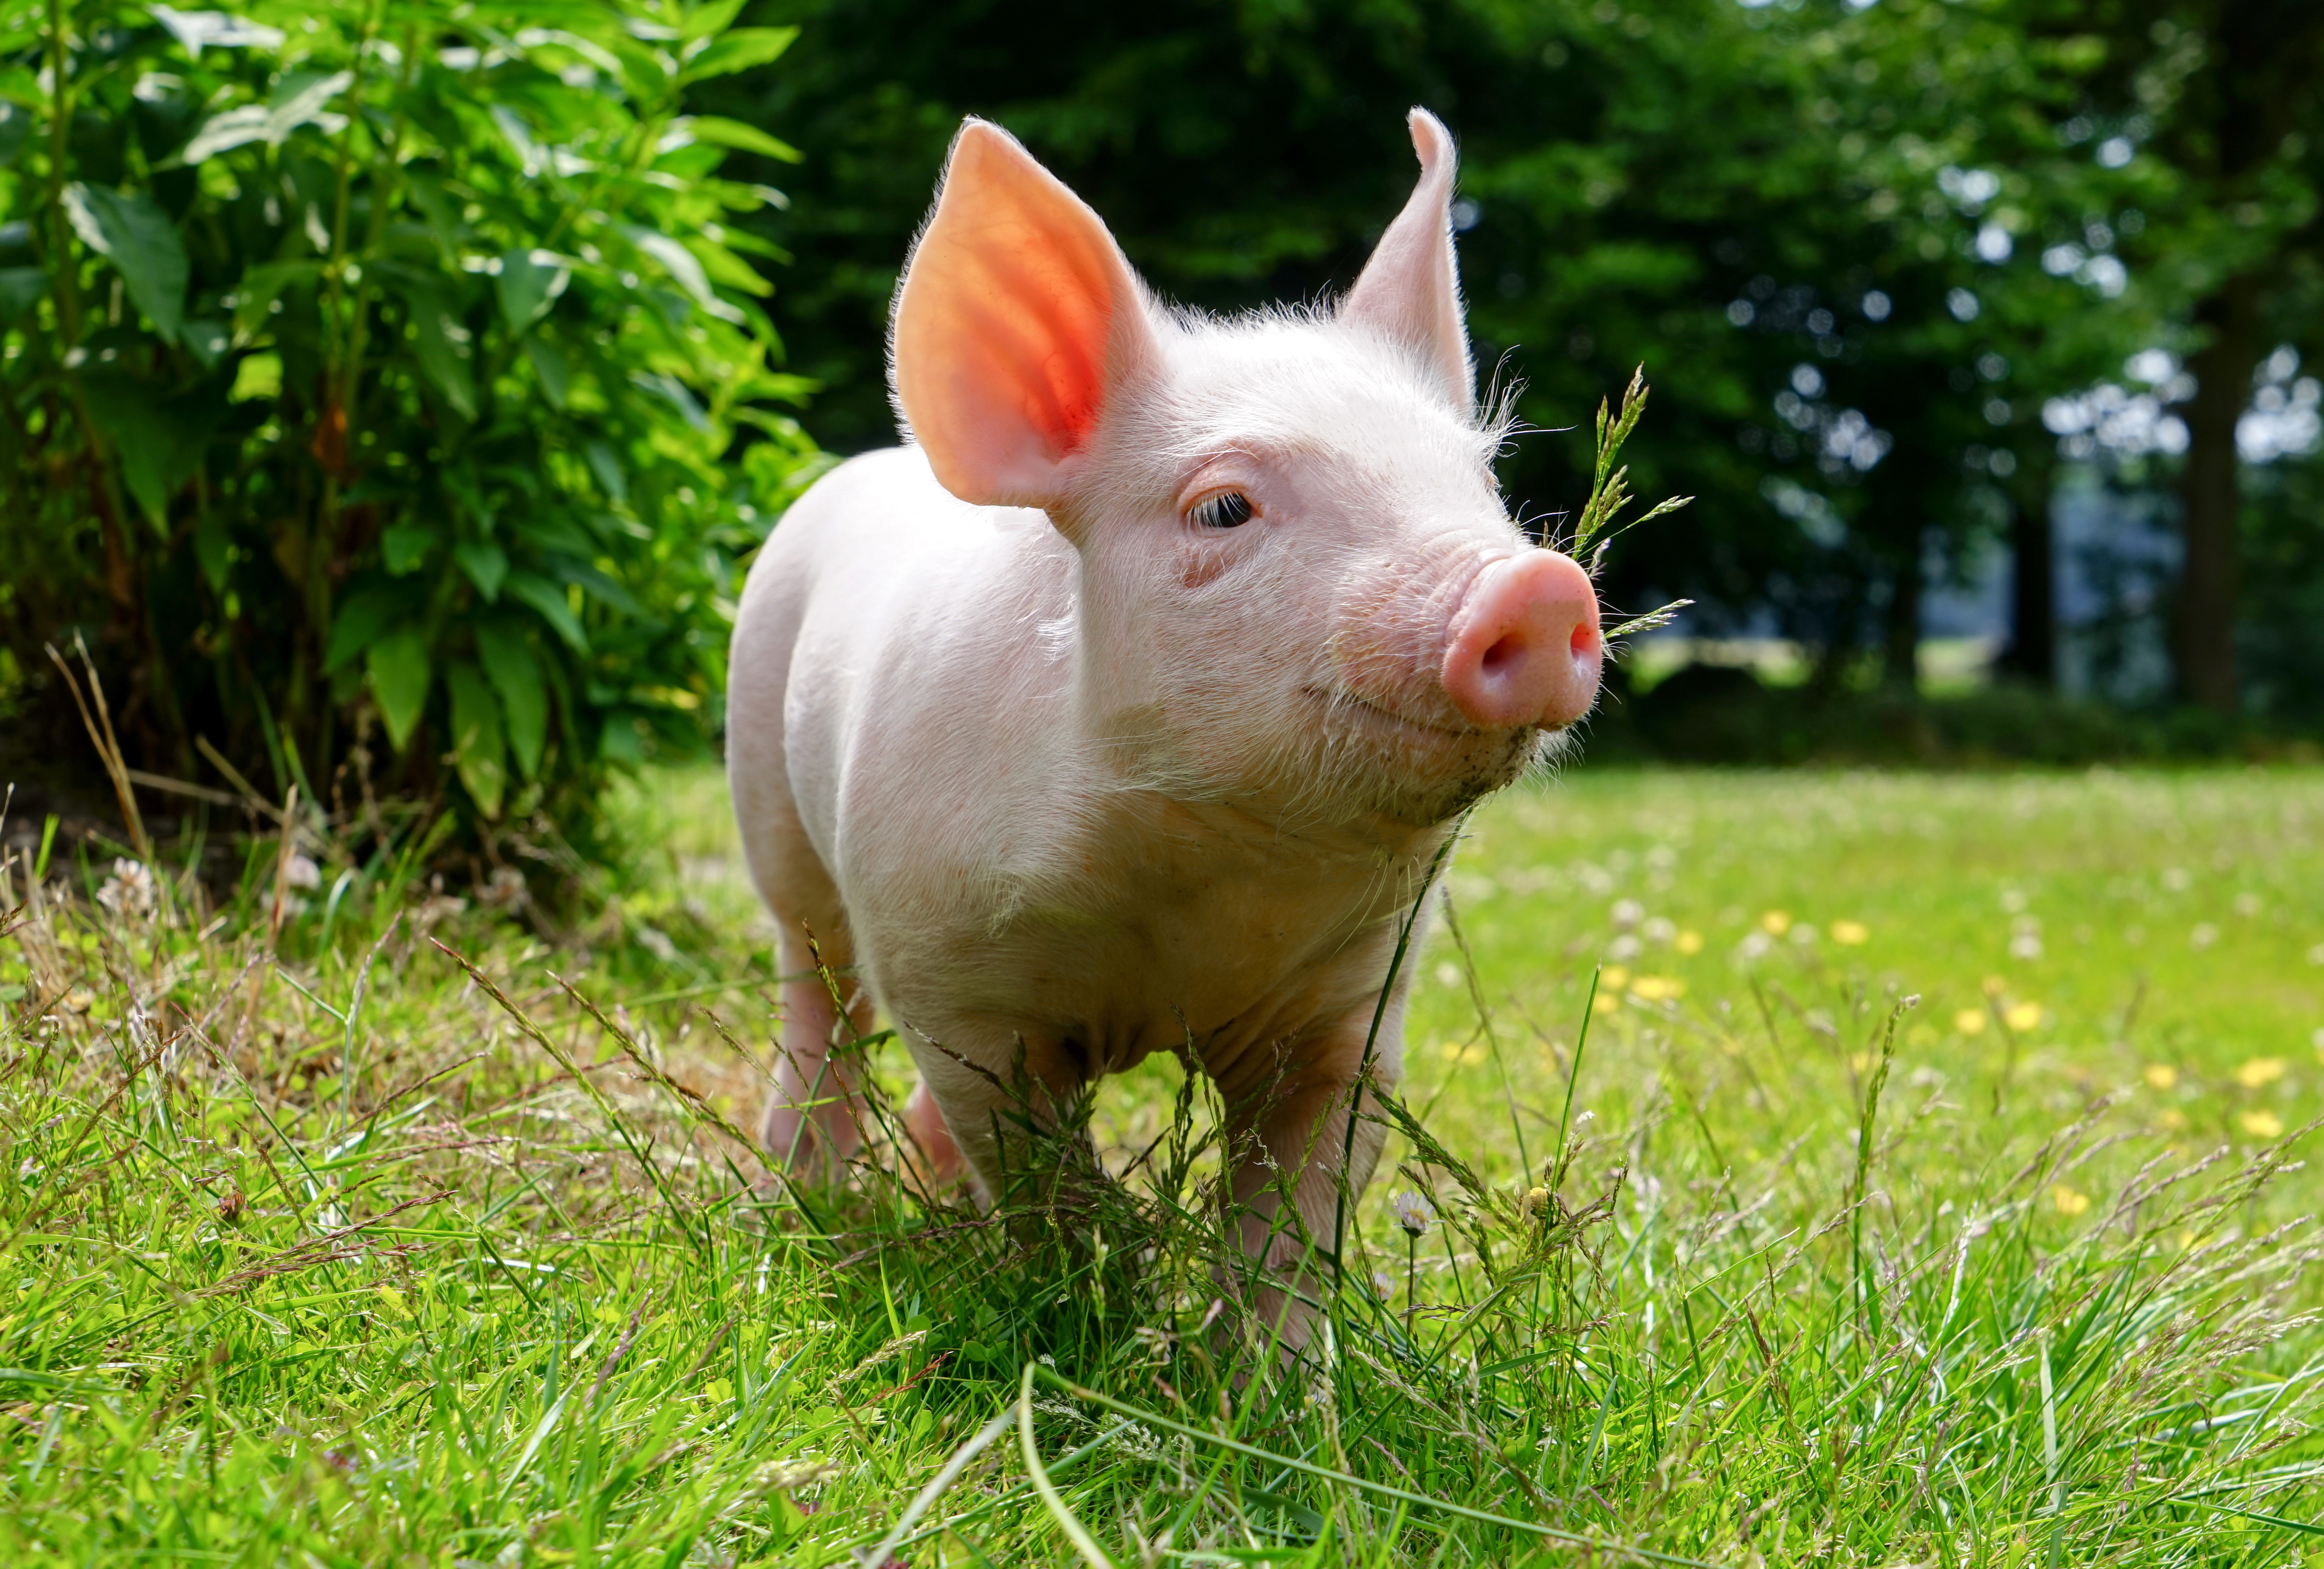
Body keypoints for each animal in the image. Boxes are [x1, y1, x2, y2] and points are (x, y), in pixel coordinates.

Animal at [727, 108, 1602, 1343]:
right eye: (1223, 506)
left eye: (1481, 482)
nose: (1538, 585)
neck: (1197, 890)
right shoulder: (951, 978)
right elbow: (1032, 1162)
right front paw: (1096, 1295)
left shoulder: (1353, 1006)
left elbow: (1299, 1208)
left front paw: (1266, 1379)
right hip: (773, 813)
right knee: (822, 1006)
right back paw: (798, 1200)